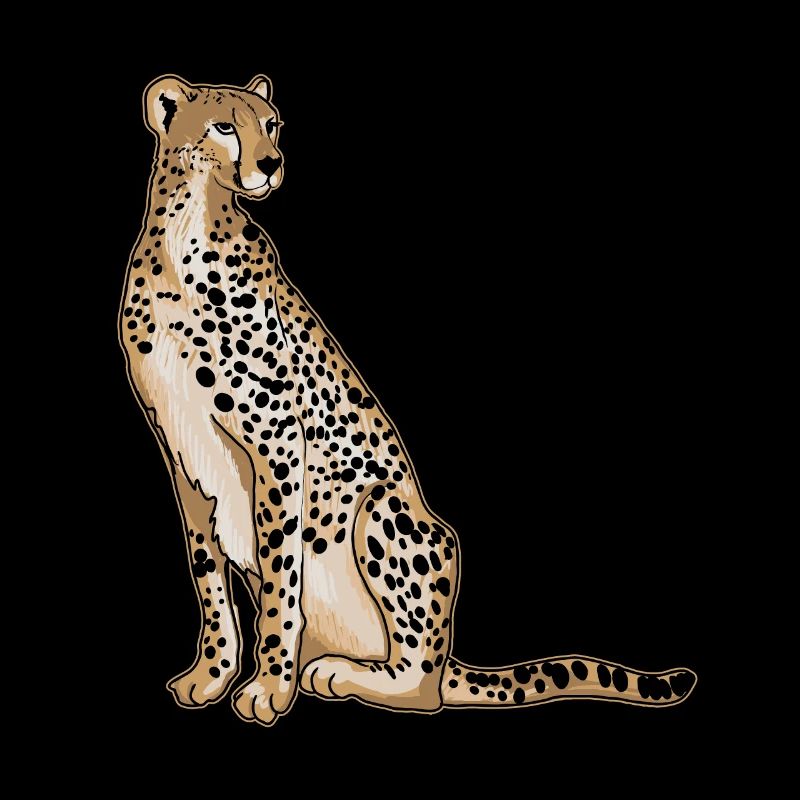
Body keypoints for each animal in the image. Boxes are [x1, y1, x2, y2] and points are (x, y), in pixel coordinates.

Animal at [119, 74, 697, 727]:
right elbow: (209, 580)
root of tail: (451, 661)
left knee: (423, 685)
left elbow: (279, 580)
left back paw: (338, 674)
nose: (271, 163)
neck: (186, 229)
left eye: (272, 125)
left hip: (387, 511)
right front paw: (212, 675)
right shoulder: (184, 456)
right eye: (223, 126)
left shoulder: (278, 442)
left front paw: (268, 688)